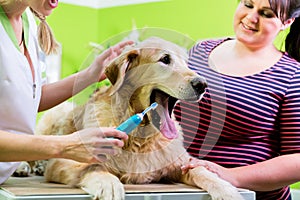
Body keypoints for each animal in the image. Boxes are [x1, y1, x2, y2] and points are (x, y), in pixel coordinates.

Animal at [35, 37, 244, 200]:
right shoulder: (61, 162)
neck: (140, 135)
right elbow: (92, 166)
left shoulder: (179, 163)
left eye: (187, 64)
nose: (202, 84)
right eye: (165, 59)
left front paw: (226, 189)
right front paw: (109, 184)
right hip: (56, 114)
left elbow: (200, 170)